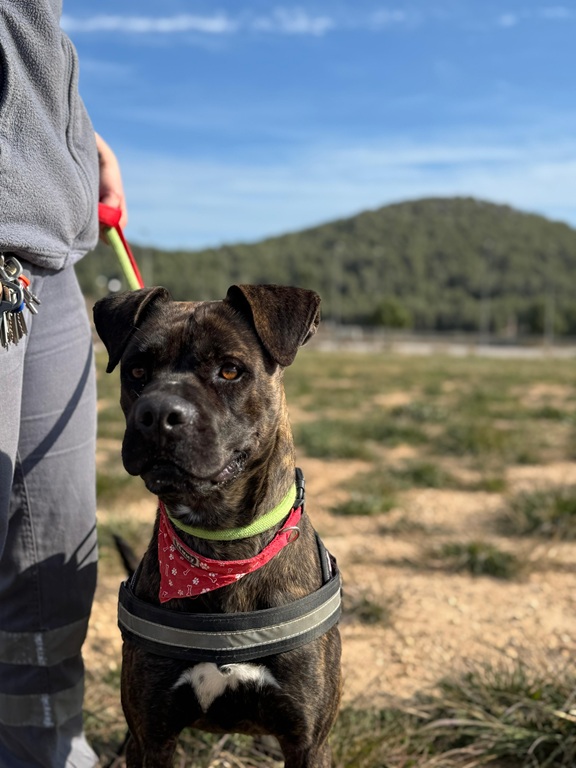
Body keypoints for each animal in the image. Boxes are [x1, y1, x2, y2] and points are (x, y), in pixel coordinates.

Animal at [93, 284, 342, 768]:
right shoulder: (151, 737)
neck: (220, 548)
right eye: (137, 370)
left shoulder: (309, 742)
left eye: (230, 370)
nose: (157, 413)